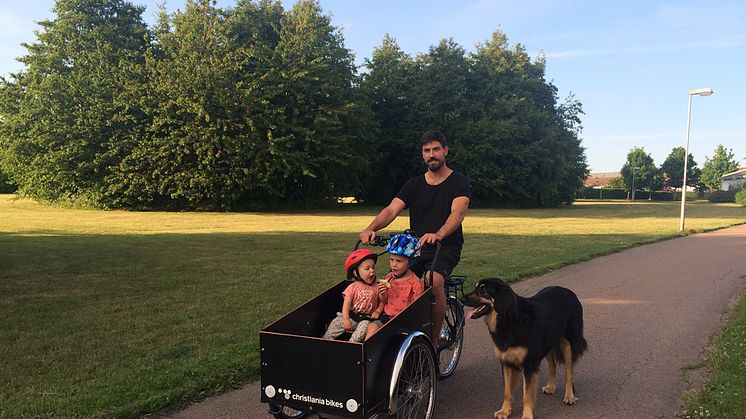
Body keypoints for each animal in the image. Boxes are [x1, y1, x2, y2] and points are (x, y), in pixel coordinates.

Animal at [460, 278, 588, 419]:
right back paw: (550, 387)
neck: (508, 319)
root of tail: (569, 292)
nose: (461, 299)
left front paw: (526, 415)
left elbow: (526, 395)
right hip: (548, 343)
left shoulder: (529, 365)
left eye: (483, 290)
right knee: (552, 366)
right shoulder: (506, 362)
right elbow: (507, 392)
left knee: (569, 372)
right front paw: (504, 411)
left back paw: (569, 396)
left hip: (569, 344)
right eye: (476, 287)